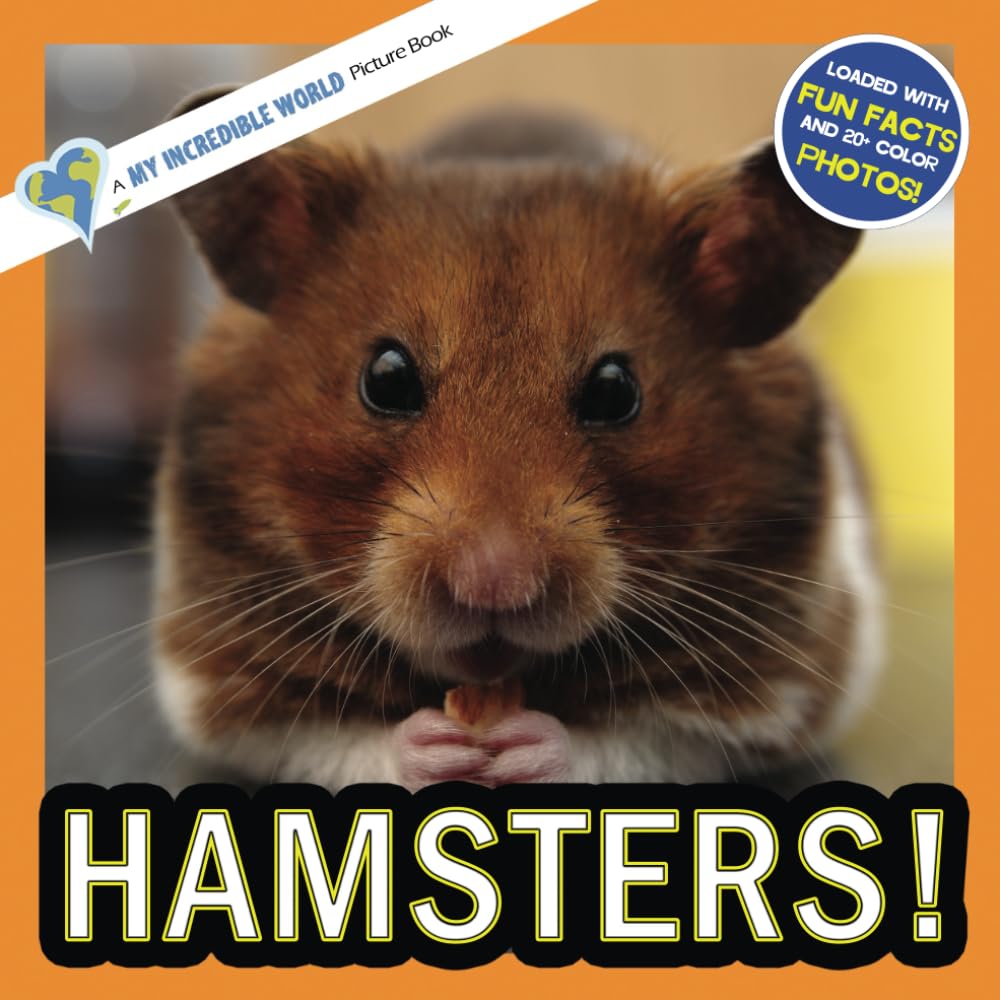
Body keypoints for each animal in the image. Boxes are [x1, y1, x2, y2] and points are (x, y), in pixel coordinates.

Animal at [153, 95, 881, 790]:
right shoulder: (217, 683)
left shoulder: (779, 690)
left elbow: (633, 741)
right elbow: (336, 740)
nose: (495, 585)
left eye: (616, 390)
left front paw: (523, 744)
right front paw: (437, 746)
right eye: (385, 378)